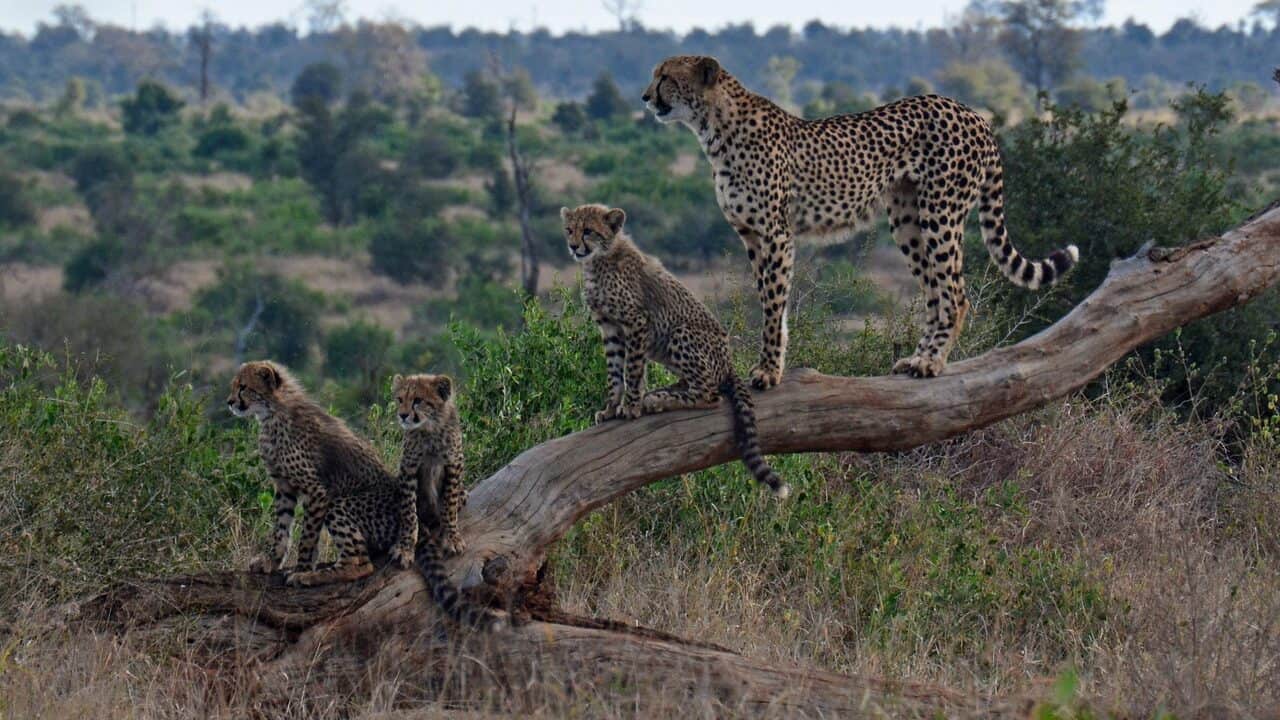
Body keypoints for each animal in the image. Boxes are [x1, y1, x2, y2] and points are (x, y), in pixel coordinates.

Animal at [393, 373, 467, 557]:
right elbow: (408, 511)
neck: (429, 428)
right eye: (400, 399)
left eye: (418, 400)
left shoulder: (454, 463)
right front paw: (405, 545)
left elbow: (449, 505)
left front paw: (451, 537)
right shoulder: (408, 467)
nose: (402, 415)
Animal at [562, 203, 789, 498]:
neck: (600, 259)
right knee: (694, 383)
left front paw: (630, 407)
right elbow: (615, 373)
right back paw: (662, 392)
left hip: (680, 333)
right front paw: (611, 407)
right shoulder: (610, 328)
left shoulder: (636, 322)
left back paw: (658, 401)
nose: (573, 246)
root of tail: (728, 363)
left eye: (588, 231)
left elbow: (632, 369)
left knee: (709, 393)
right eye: (570, 229)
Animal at [642, 55, 1080, 385]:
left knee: (956, 294)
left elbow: (772, 304)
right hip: (908, 221)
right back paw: (916, 359)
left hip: (941, 213)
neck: (714, 126)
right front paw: (771, 363)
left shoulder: (776, 235)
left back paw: (932, 362)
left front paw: (768, 372)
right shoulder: (751, 236)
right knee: (935, 294)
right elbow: (770, 301)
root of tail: (972, 112)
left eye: (665, 77)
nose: (646, 98)